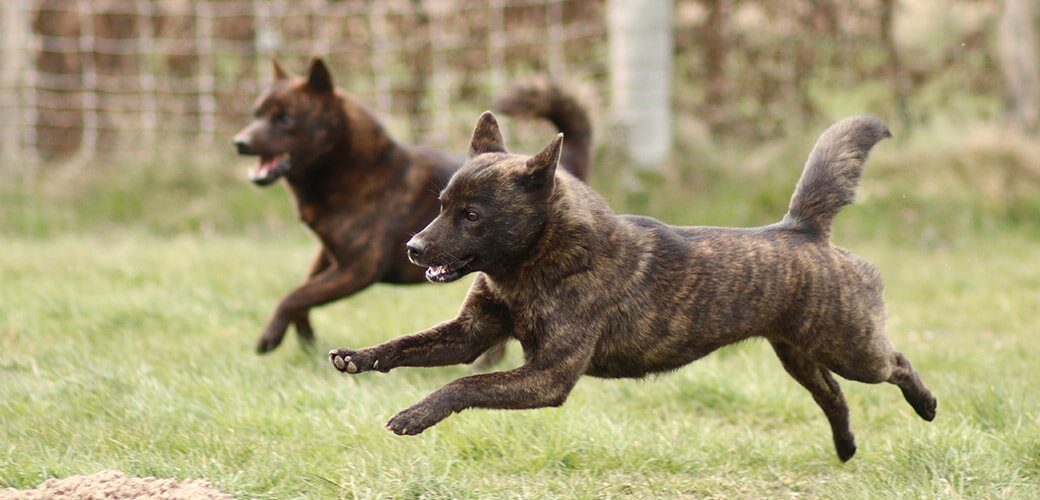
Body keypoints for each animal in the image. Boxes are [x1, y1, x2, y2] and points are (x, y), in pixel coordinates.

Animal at [236, 57, 594, 355]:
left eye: (286, 119)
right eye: (256, 115)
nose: (239, 142)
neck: (355, 168)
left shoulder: (358, 268)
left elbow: (295, 295)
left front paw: (270, 337)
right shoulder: (329, 255)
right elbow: (303, 291)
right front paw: (305, 335)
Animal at [328, 110, 940, 459]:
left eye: (472, 215)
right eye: (441, 206)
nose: (413, 248)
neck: (539, 264)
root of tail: (803, 229)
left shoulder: (546, 378)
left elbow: (464, 385)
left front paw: (413, 416)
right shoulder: (471, 334)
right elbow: (406, 346)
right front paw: (357, 357)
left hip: (852, 348)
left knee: (896, 364)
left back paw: (928, 405)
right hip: (800, 356)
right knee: (834, 397)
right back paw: (846, 447)